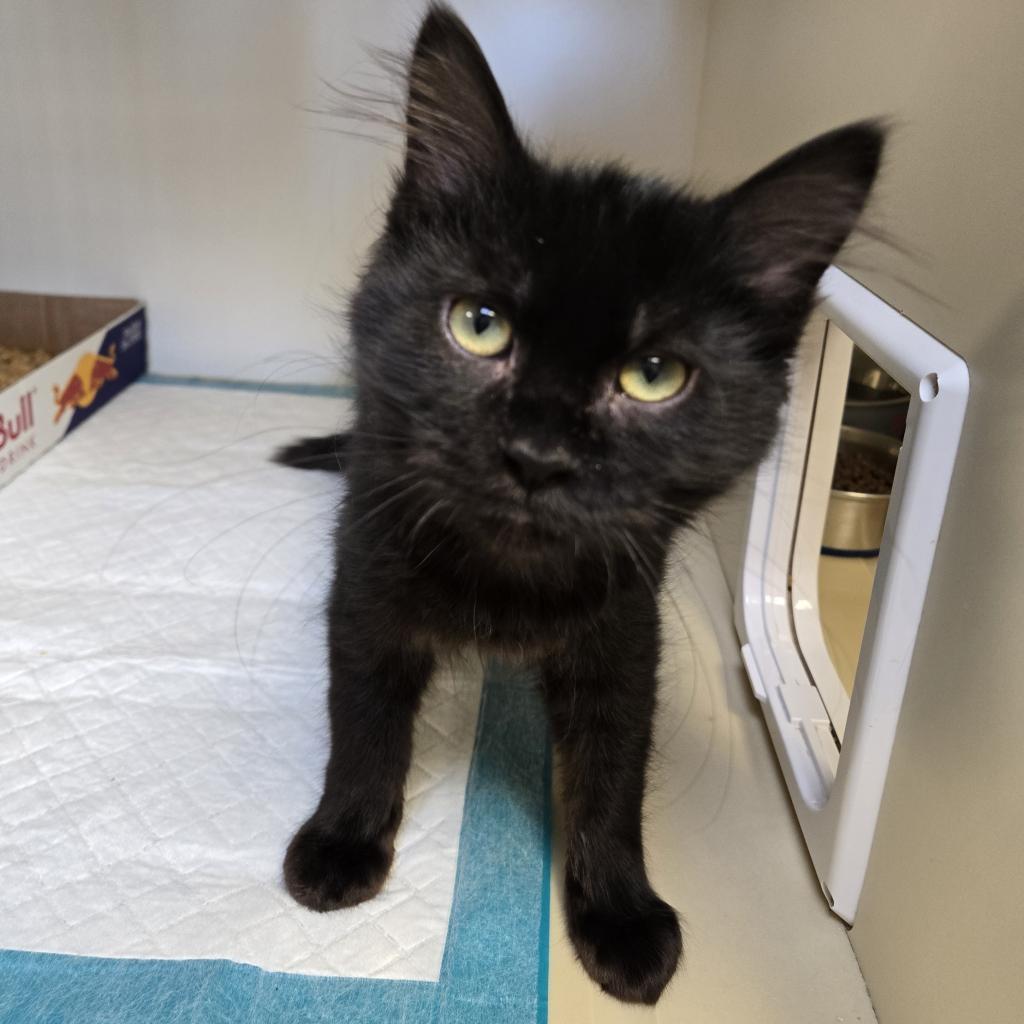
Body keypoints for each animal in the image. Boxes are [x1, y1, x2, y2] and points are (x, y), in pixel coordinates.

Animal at [276, 4, 884, 1003]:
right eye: (479, 325)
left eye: (654, 376)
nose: (539, 455)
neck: (507, 583)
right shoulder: (366, 578)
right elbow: (362, 718)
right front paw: (343, 837)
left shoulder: (627, 627)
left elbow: (611, 772)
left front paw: (621, 912)